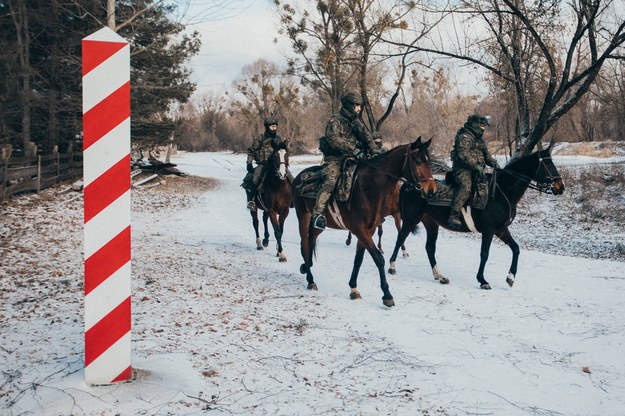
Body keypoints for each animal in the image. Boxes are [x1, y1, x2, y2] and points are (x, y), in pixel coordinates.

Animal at [292, 138, 434, 308]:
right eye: (418, 161)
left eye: (429, 161)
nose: (431, 190)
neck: (368, 186)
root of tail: (299, 177)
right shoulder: (359, 228)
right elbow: (378, 258)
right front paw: (387, 295)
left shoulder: (369, 230)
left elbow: (358, 260)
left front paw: (353, 288)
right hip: (303, 217)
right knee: (304, 246)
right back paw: (310, 279)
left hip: (319, 225)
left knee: (311, 241)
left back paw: (307, 267)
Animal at [388, 142, 564, 290]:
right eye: (548, 164)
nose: (560, 187)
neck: (500, 192)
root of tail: (410, 185)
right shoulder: (489, 230)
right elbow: (484, 254)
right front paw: (482, 280)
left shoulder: (501, 230)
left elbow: (516, 248)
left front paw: (510, 278)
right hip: (411, 220)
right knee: (400, 238)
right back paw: (392, 267)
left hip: (431, 224)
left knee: (429, 248)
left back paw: (440, 276)